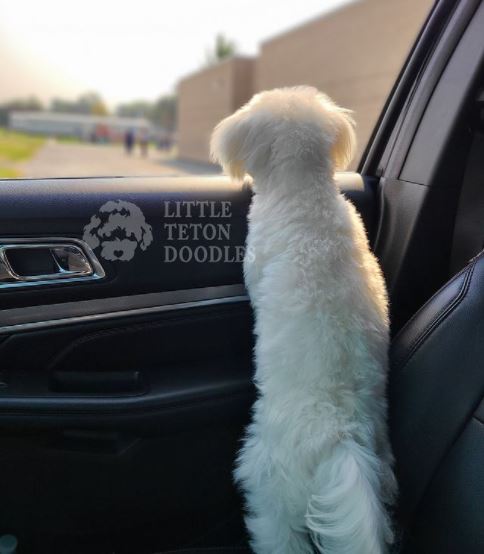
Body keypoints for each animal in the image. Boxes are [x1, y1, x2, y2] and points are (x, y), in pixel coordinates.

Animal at [212, 87, 398, 552]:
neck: (304, 191)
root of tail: (339, 436)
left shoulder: (254, 264)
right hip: (382, 463)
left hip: (267, 475)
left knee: (278, 531)